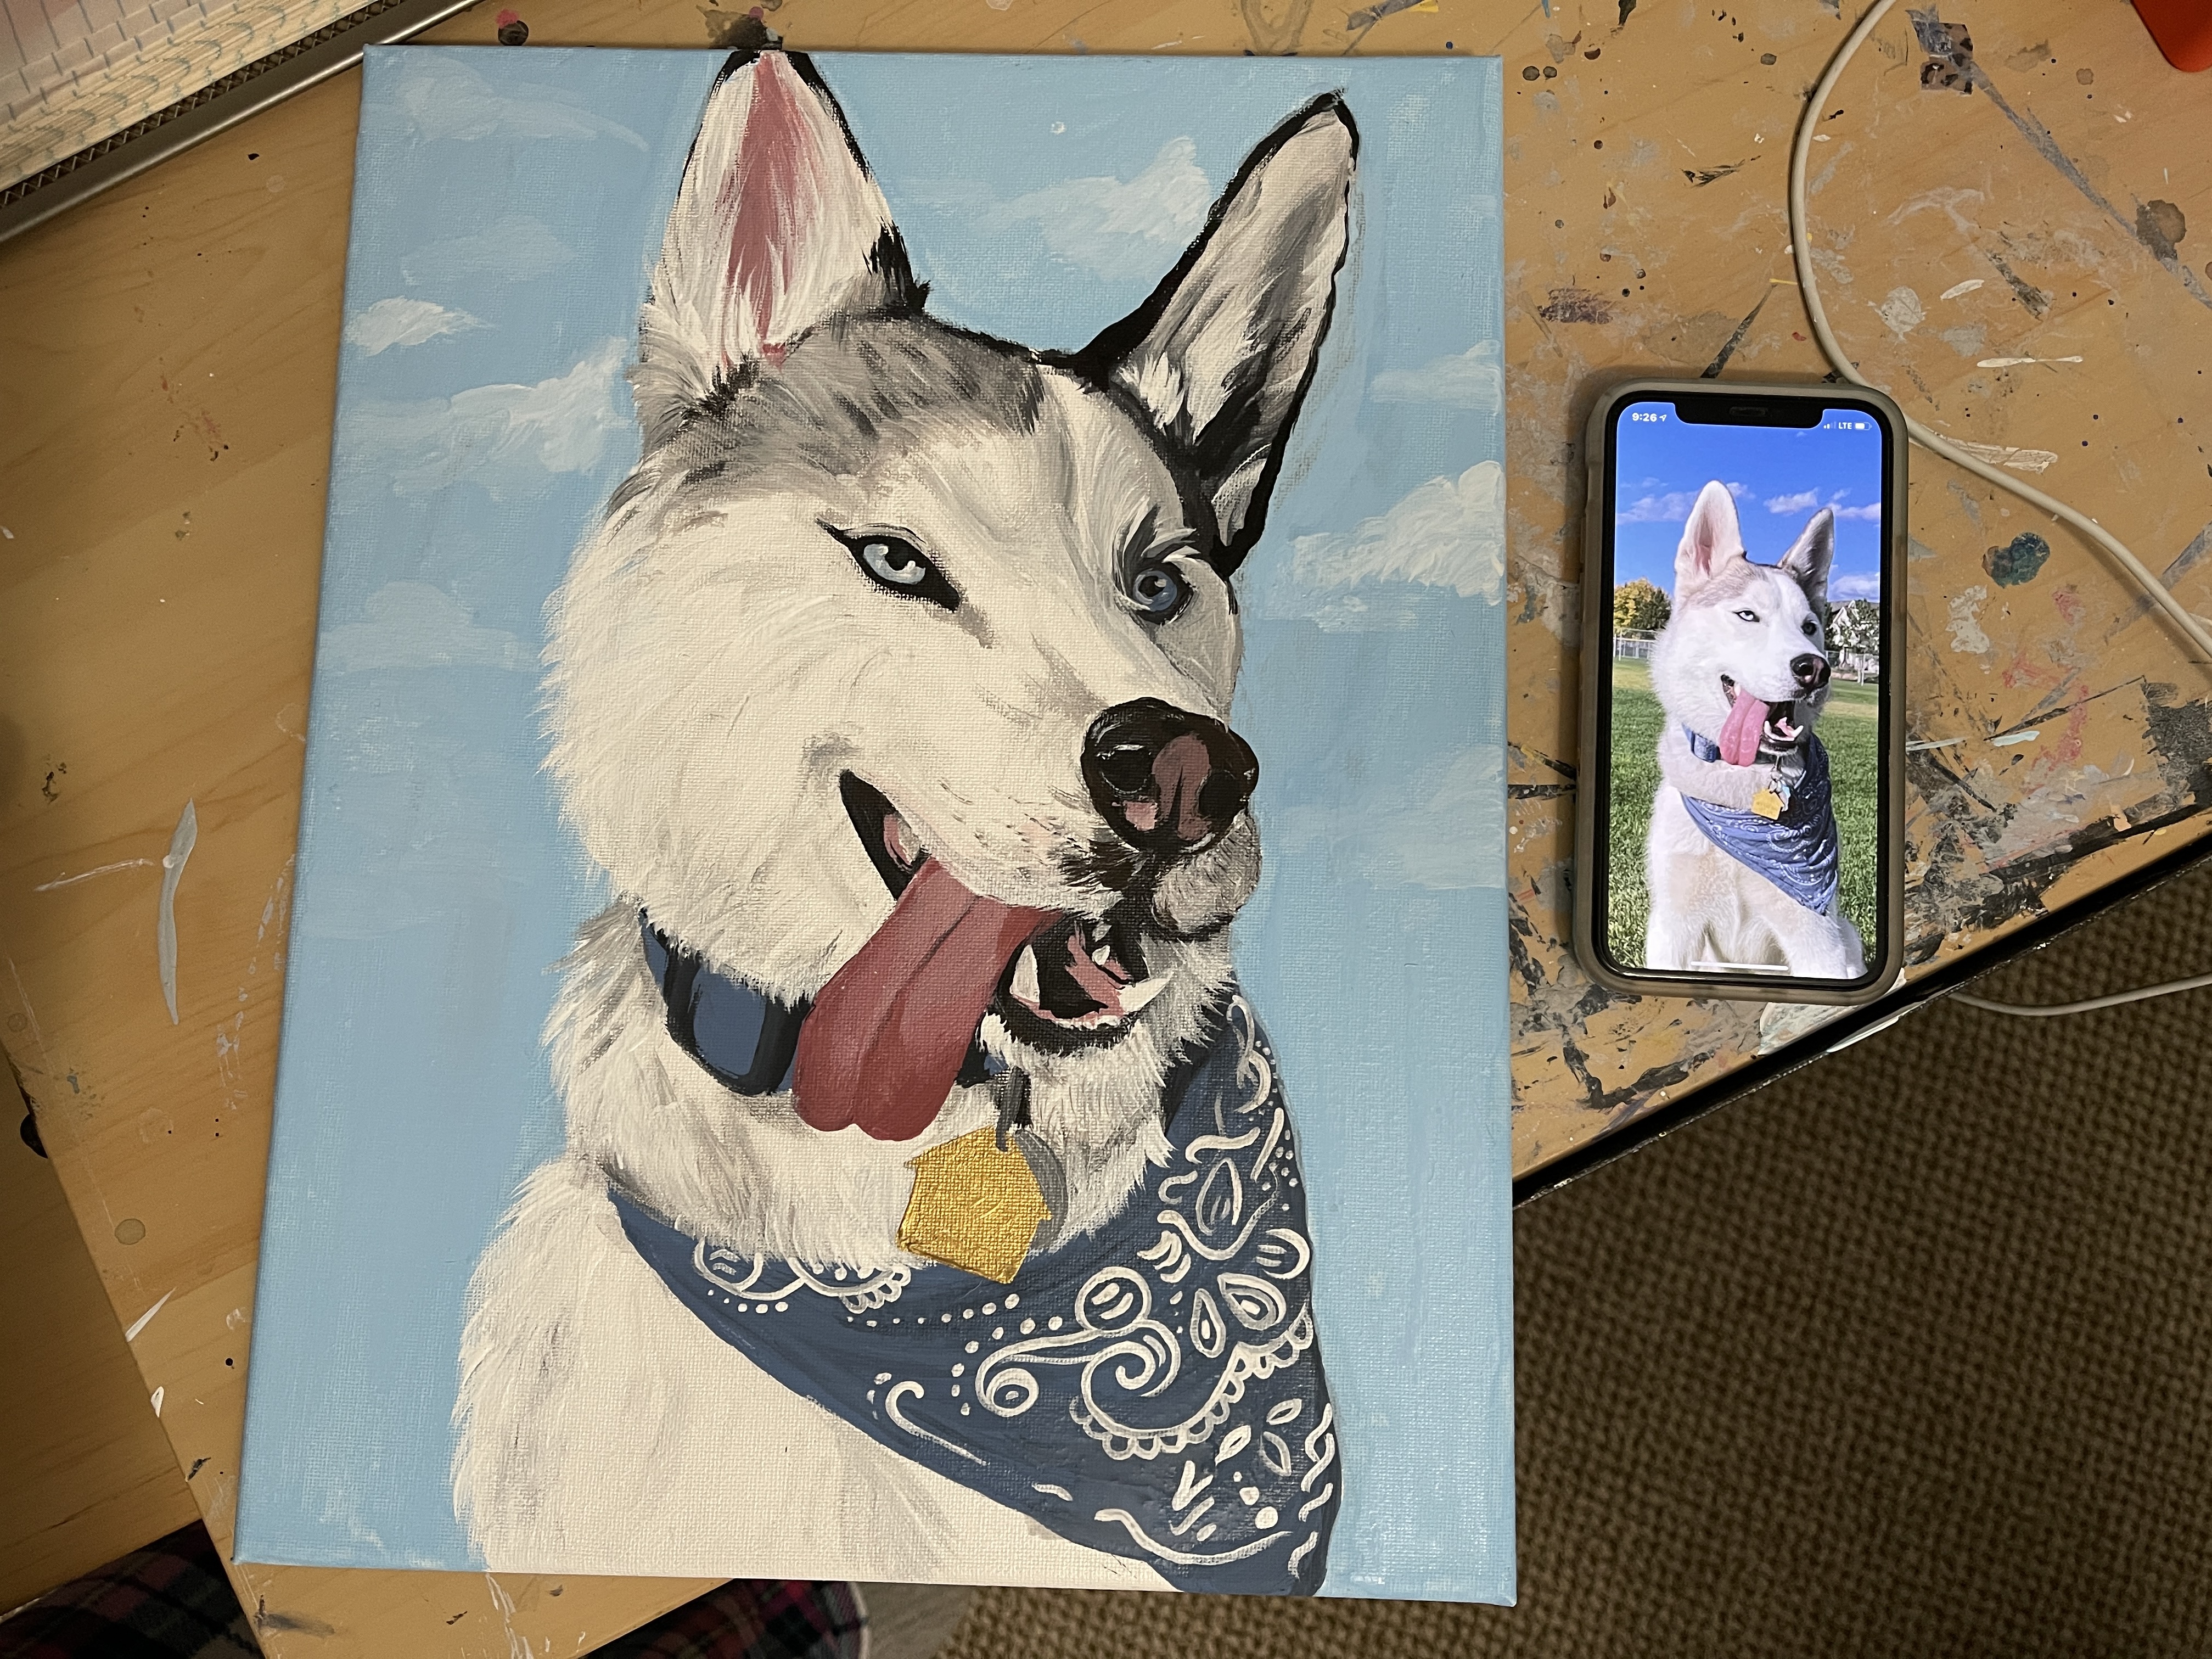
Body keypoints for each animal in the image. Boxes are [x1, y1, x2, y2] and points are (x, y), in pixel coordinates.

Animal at [1641, 479, 1865, 980]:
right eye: (1748, 616)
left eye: (1810, 626)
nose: (1815, 669)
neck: (1741, 787)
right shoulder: (1673, 928)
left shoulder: (1816, 938)